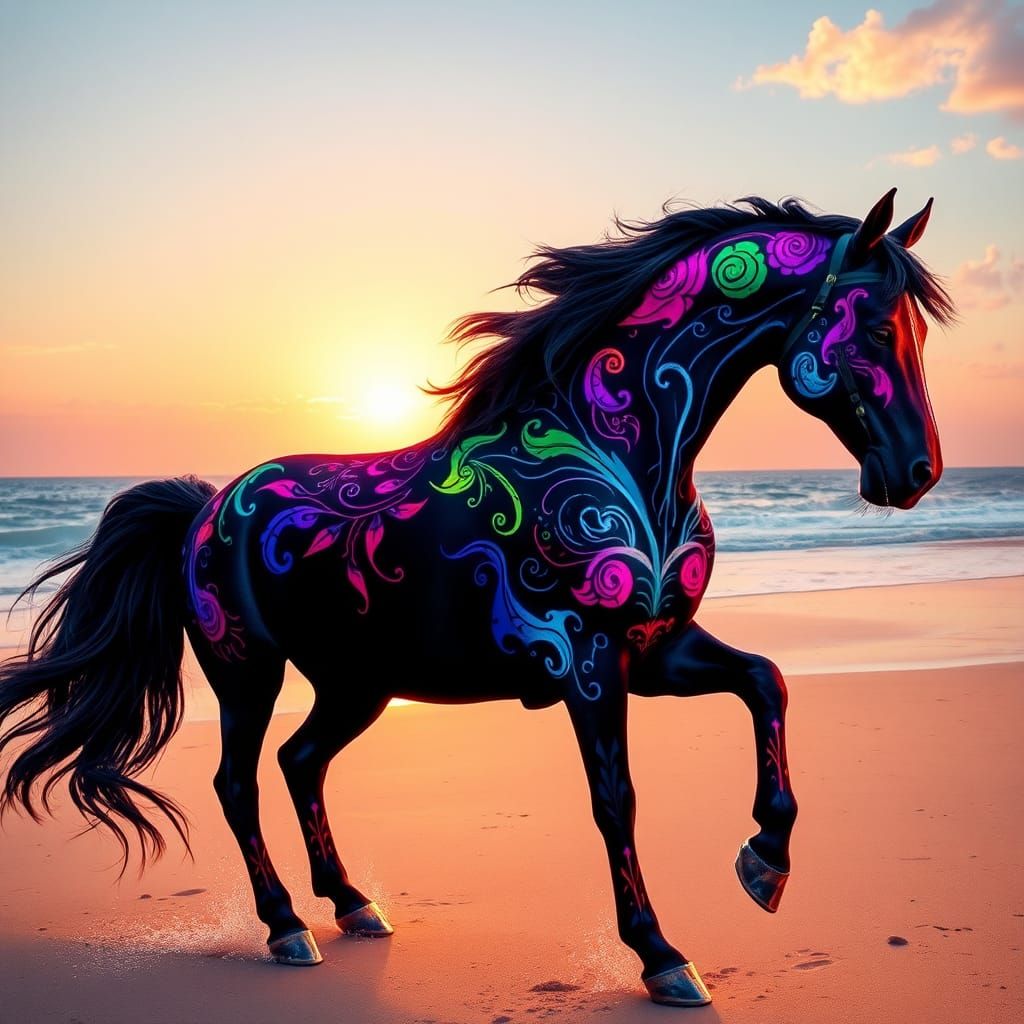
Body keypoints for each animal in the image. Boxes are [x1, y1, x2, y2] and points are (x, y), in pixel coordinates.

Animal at [0, 190, 952, 1006]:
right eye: (875, 324)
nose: (918, 472)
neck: (618, 452)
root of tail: (203, 507)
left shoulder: (658, 651)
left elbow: (767, 681)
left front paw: (765, 864)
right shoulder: (589, 662)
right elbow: (618, 800)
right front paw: (663, 957)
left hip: (358, 685)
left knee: (300, 762)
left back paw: (353, 905)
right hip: (248, 673)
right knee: (238, 782)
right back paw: (286, 929)